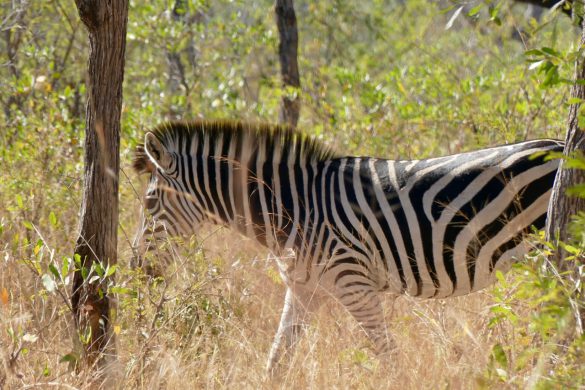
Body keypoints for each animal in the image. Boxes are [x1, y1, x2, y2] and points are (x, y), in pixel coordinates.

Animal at [131, 119, 560, 372]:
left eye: (149, 203)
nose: (135, 268)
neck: (295, 209)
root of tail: (560, 144)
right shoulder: (303, 288)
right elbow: (276, 362)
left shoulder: (353, 283)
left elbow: (390, 359)